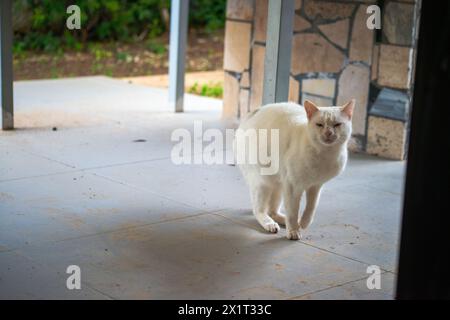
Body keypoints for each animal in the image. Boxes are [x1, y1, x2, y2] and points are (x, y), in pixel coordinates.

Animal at [236, 100, 356, 240]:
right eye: (319, 125)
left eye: (337, 124)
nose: (328, 133)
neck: (325, 155)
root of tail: (255, 111)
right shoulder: (293, 186)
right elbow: (293, 211)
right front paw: (293, 231)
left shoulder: (315, 186)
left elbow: (311, 208)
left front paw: (303, 223)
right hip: (264, 182)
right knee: (259, 210)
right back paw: (271, 224)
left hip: (279, 184)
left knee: (272, 211)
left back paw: (284, 220)